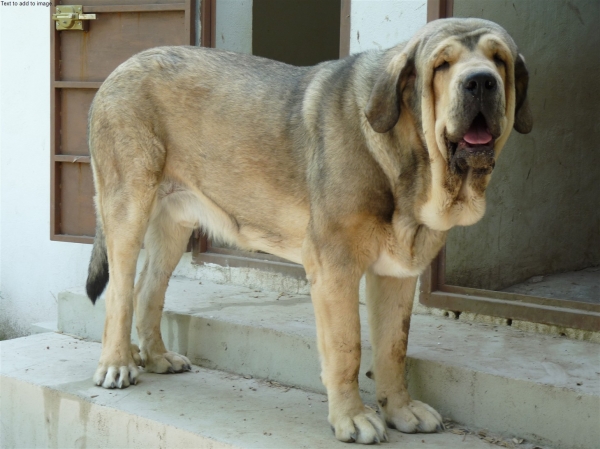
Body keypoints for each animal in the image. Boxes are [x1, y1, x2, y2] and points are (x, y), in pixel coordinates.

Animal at [84, 16, 528, 440]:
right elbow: (348, 347)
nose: (480, 81)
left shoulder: (397, 274)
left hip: (174, 225)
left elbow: (393, 347)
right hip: (128, 209)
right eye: (442, 65)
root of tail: (120, 68)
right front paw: (351, 418)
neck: (408, 157)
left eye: (498, 60)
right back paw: (116, 363)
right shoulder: (335, 269)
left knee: (148, 291)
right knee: (120, 293)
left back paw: (157, 358)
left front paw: (400, 410)